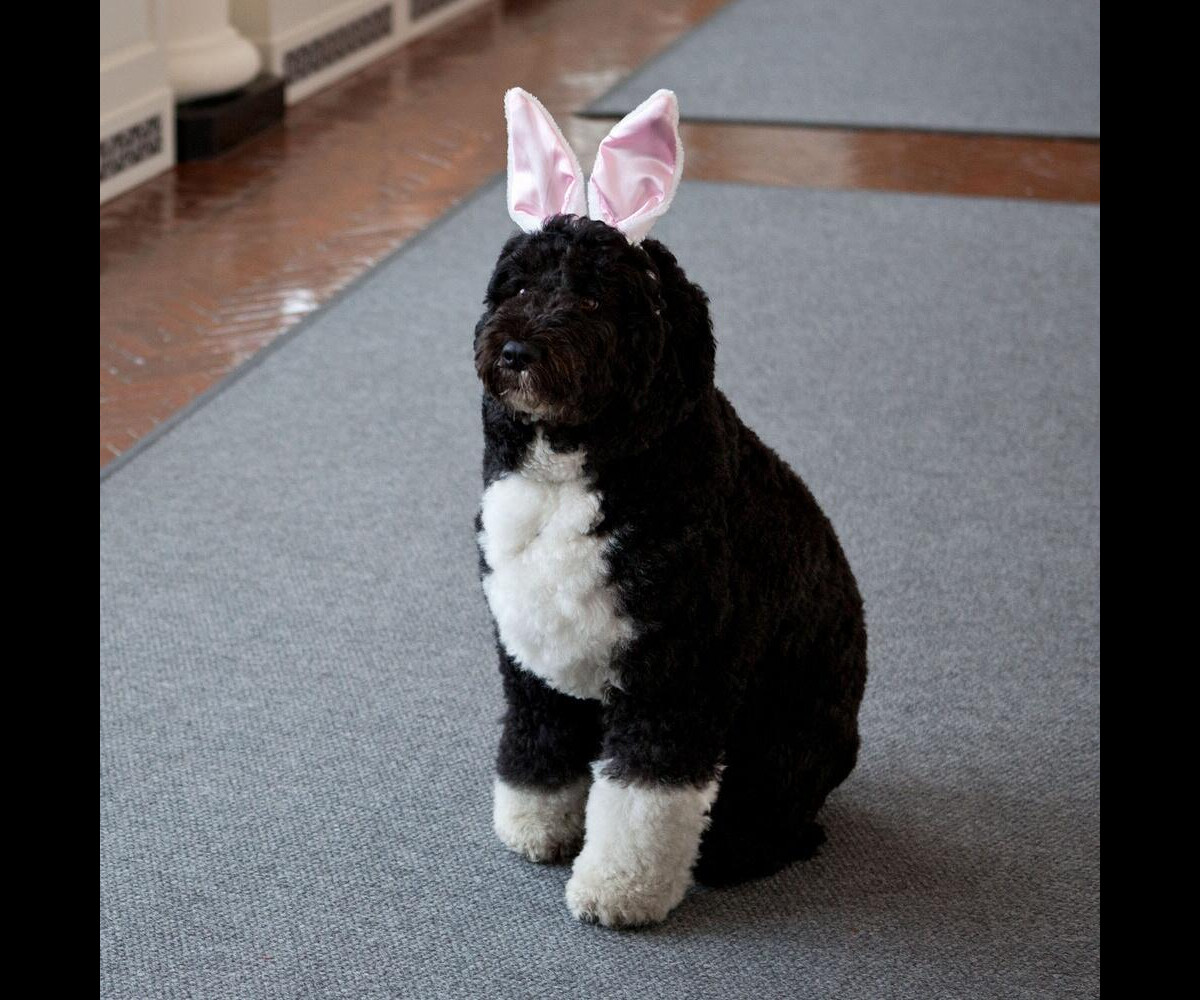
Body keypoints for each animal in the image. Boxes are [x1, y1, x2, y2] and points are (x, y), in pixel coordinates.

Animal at [472, 90, 868, 926]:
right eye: (518, 287)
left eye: (593, 295)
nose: (517, 351)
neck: (572, 470)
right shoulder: (528, 658)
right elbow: (536, 743)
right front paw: (538, 824)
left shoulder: (676, 673)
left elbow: (646, 799)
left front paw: (620, 890)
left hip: (785, 741)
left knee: (782, 820)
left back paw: (737, 851)